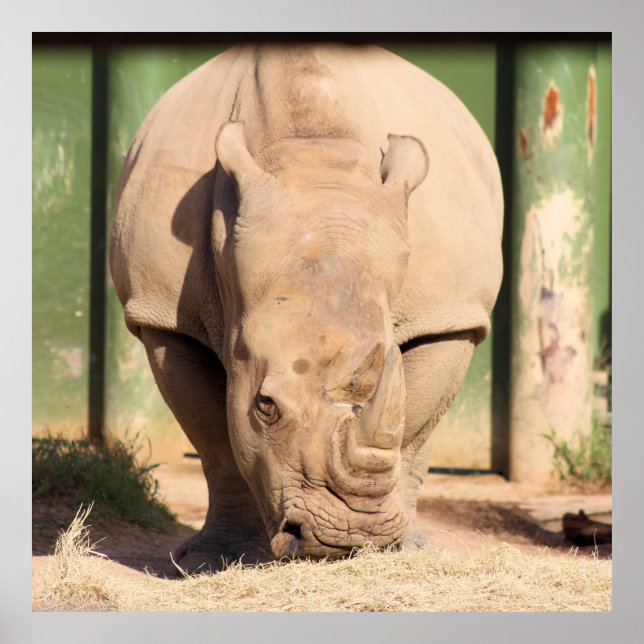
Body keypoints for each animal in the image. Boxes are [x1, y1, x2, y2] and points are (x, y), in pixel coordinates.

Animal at [109, 43, 503, 571]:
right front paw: (216, 560)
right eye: (265, 406)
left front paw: (399, 550)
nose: (349, 539)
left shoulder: (449, 314)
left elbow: (414, 430)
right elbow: (215, 443)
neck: (314, 160)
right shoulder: (164, 317)